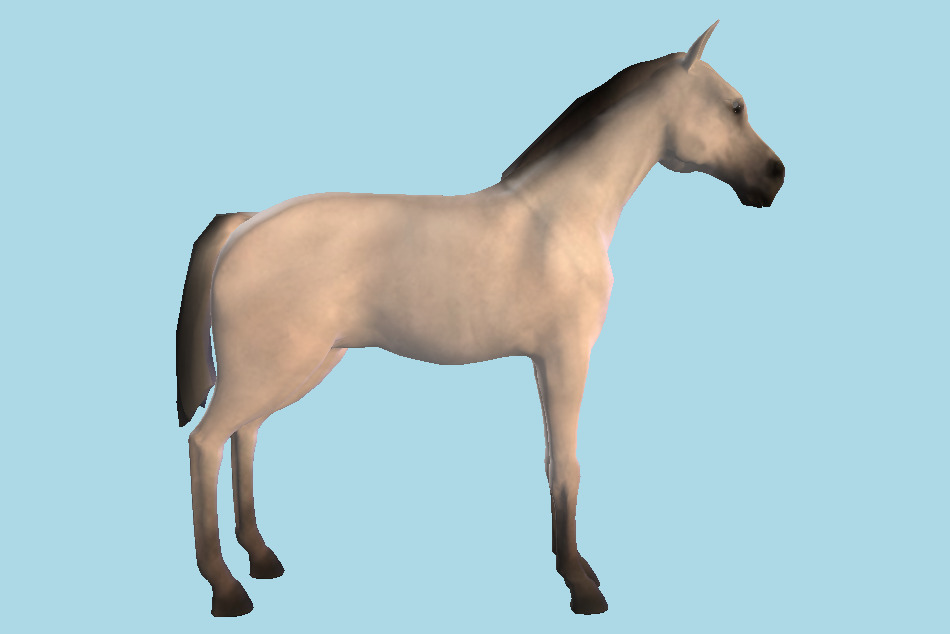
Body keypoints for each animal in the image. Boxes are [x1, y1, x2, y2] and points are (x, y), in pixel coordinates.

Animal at [176, 20, 784, 617]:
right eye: (734, 107)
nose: (774, 177)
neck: (562, 217)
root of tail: (248, 223)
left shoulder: (542, 361)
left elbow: (551, 462)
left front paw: (573, 568)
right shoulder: (567, 357)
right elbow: (568, 464)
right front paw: (582, 587)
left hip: (297, 367)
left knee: (245, 435)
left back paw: (261, 558)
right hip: (268, 370)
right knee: (206, 442)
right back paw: (227, 590)